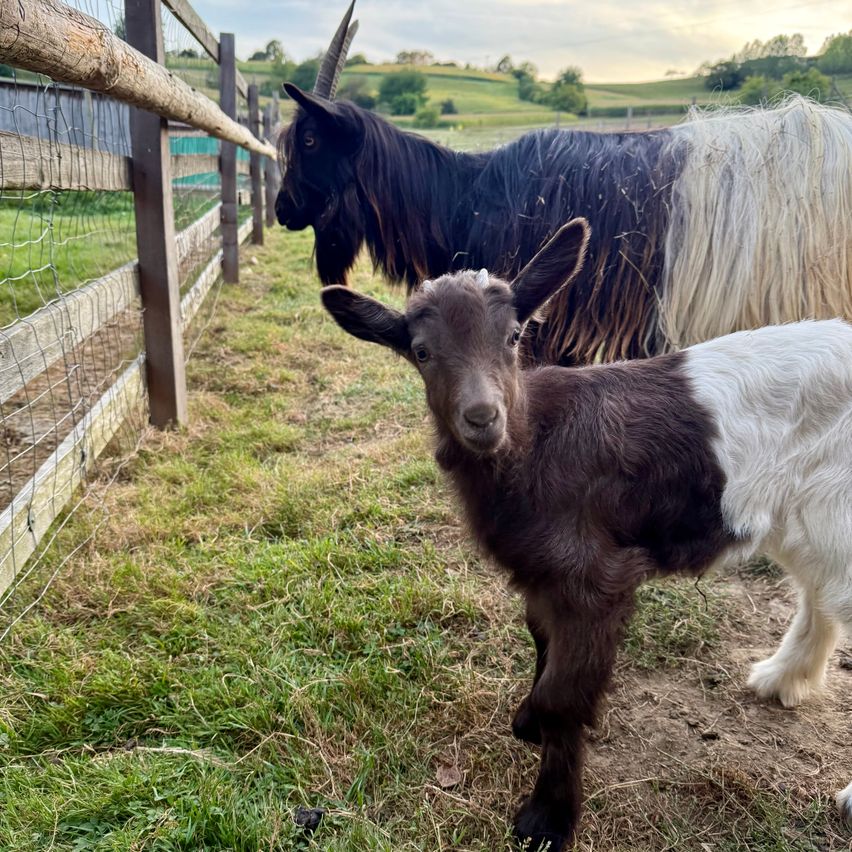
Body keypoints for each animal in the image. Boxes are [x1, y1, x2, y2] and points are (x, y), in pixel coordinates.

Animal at [320, 218, 852, 850]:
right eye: (422, 352)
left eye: (513, 337)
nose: (482, 418)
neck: (530, 446)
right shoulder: (542, 574)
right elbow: (541, 642)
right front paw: (528, 723)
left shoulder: (594, 579)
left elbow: (564, 695)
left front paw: (547, 818)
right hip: (805, 518)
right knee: (819, 595)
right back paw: (782, 678)